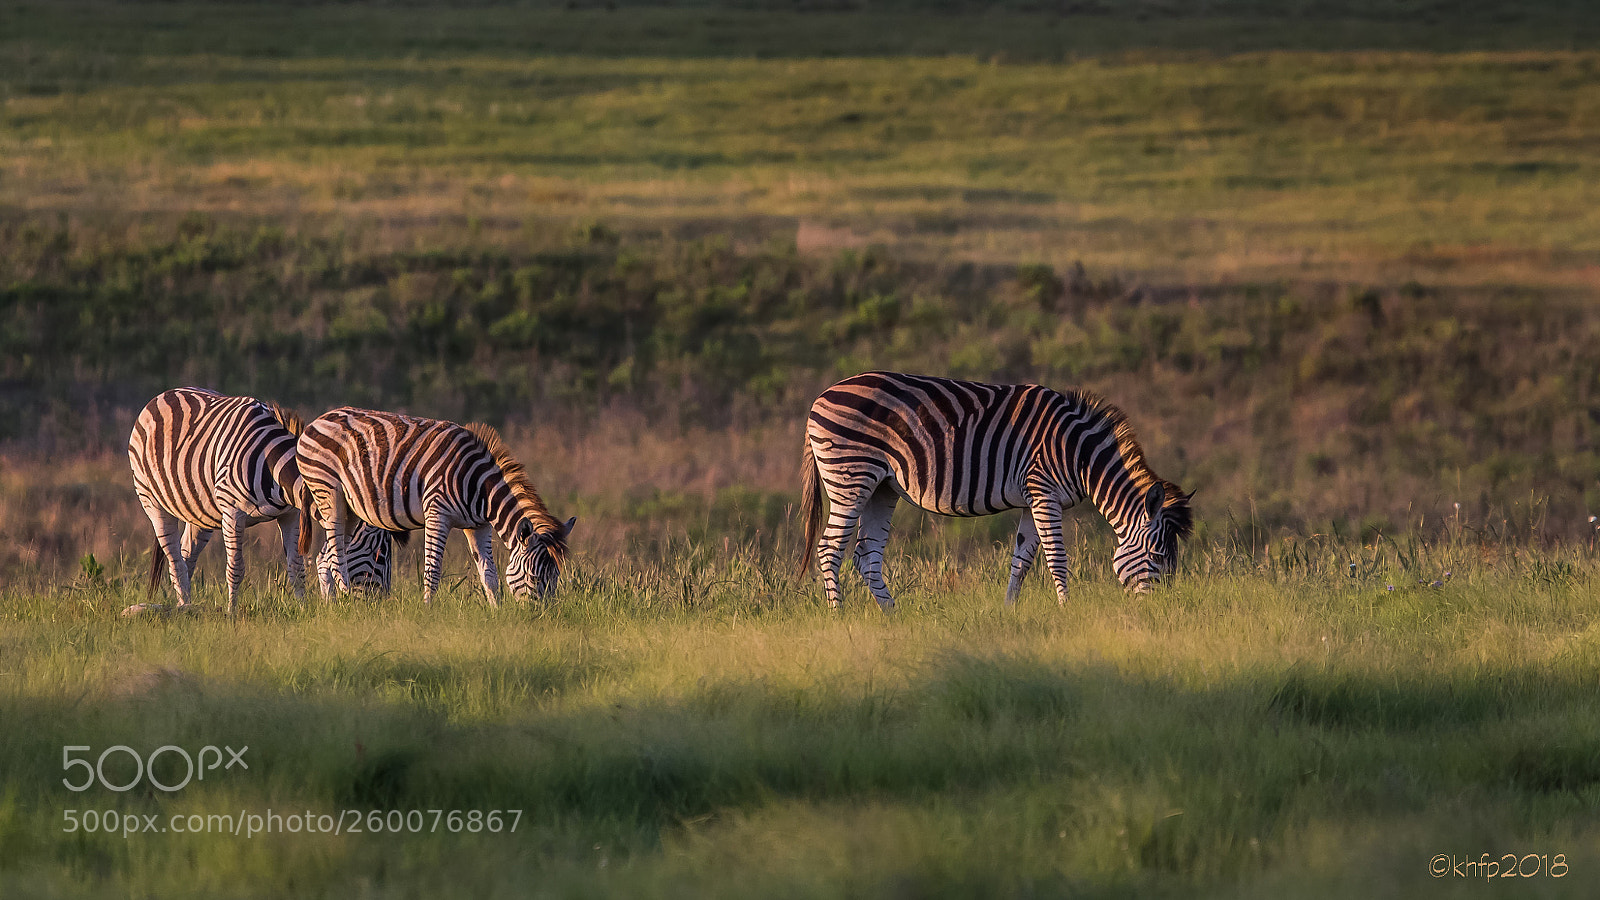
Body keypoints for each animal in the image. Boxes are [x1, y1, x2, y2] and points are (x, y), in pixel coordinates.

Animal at [128, 387, 386, 615]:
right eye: (379, 552)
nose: (381, 602)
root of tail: (163, 395)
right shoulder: (232, 513)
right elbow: (235, 568)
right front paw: (232, 612)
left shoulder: (290, 515)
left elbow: (296, 568)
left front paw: (303, 609)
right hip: (151, 500)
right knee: (174, 559)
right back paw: (185, 606)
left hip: (200, 513)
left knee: (186, 555)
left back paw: (186, 606)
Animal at [295, 408, 575, 606]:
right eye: (535, 578)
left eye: (556, 578)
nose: (542, 617)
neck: (480, 488)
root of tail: (318, 420)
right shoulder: (437, 513)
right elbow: (433, 571)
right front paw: (428, 610)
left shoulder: (478, 526)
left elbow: (490, 575)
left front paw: (497, 612)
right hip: (328, 493)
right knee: (335, 555)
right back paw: (345, 599)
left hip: (349, 508)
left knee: (325, 557)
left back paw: (333, 607)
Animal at [799, 371, 1193, 611]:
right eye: (1158, 557)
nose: (1160, 612)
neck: (1078, 453)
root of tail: (820, 397)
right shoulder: (1044, 492)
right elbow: (1056, 558)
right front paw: (1067, 610)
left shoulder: (1033, 499)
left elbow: (1021, 559)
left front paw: (1009, 612)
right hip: (851, 476)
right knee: (830, 548)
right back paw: (839, 615)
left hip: (882, 488)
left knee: (866, 555)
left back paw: (893, 615)